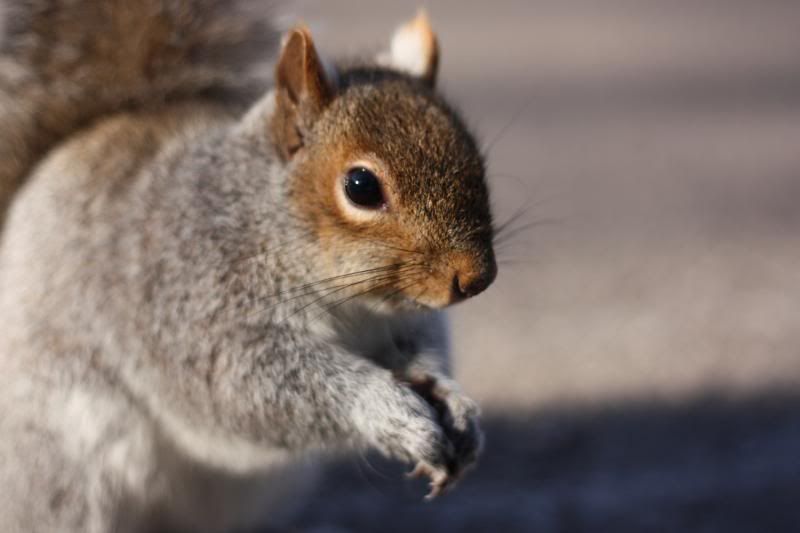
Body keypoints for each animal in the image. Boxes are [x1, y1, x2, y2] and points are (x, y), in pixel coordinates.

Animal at [0, 1, 497, 532]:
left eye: (475, 158)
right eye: (361, 186)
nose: (476, 278)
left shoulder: (401, 323)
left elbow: (421, 353)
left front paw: (456, 405)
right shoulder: (193, 298)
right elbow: (250, 385)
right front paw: (391, 413)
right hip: (64, 462)